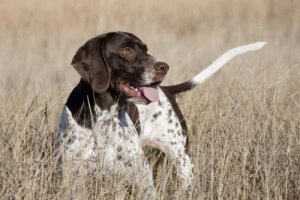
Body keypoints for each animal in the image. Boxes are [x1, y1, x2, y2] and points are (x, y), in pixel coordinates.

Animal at [55, 31, 264, 198]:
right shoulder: (72, 178)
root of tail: (167, 90)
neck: (104, 118)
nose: (164, 67)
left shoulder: (142, 179)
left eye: (146, 49)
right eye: (127, 50)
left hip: (182, 160)